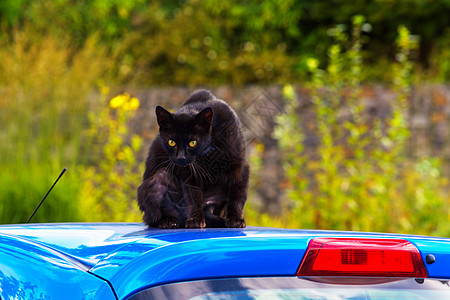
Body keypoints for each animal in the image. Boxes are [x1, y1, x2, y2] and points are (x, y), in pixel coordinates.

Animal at [137, 90, 250, 229]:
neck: (208, 152)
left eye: (192, 143)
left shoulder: (240, 167)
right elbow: (193, 197)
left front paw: (236, 219)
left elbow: (238, 195)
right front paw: (195, 220)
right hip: (159, 179)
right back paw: (168, 221)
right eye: (171, 142)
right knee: (152, 218)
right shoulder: (189, 172)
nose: (181, 157)